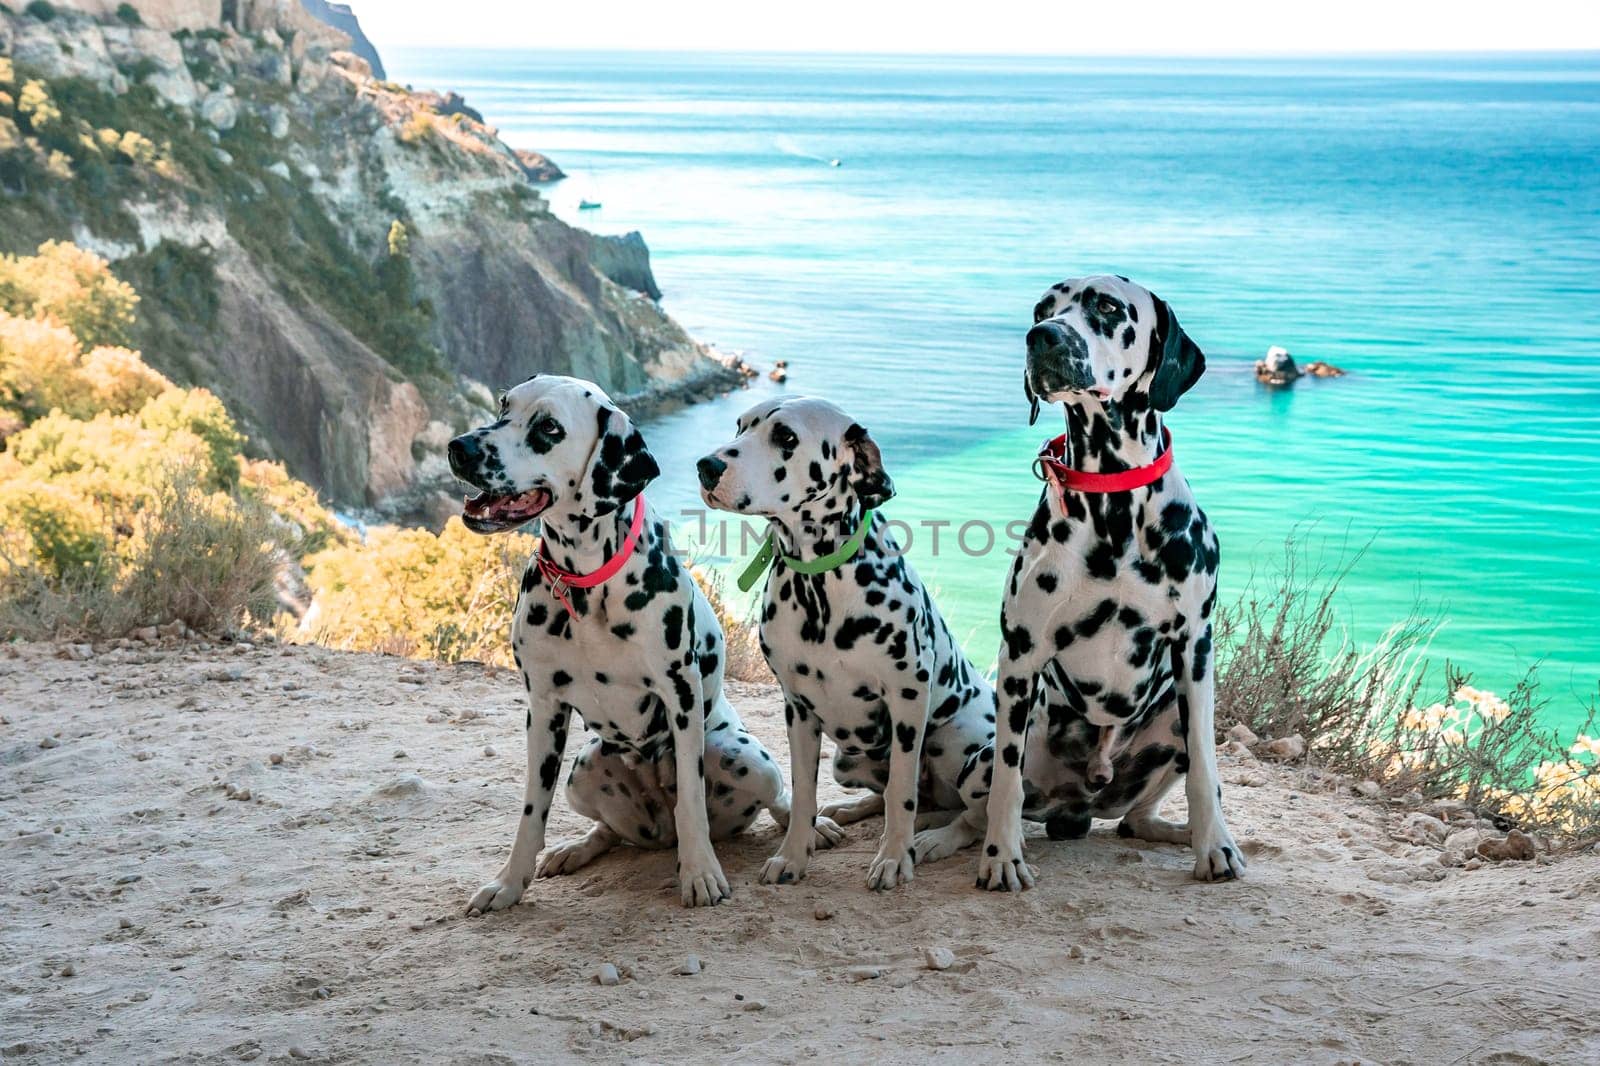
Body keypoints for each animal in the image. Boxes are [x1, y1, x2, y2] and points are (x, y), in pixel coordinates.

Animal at [444, 371, 832, 902]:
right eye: (504, 405)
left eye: (549, 428)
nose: (458, 448)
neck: (587, 585)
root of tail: (658, 830)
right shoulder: (543, 708)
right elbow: (531, 809)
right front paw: (508, 882)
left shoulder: (680, 695)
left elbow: (691, 798)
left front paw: (700, 873)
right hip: (585, 767)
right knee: (609, 830)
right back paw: (576, 849)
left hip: (746, 756)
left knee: (777, 796)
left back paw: (807, 827)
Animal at [972, 273, 1248, 889]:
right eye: (1042, 310)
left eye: (1106, 307)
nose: (1042, 337)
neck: (1114, 503)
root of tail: (1081, 804)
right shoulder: (1019, 654)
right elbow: (1006, 783)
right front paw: (1001, 858)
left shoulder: (1195, 648)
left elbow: (1209, 773)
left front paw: (1215, 846)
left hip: (1169, 719)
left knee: (1134, 820)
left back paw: (1178, 833)